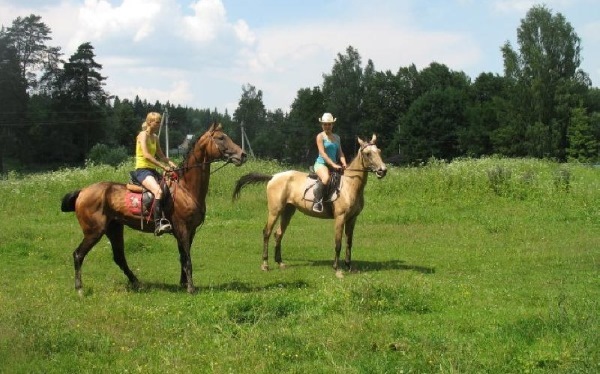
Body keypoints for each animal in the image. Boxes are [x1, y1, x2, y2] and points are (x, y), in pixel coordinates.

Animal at [61, 124, 246, 294]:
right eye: (221, 138)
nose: (243, 155)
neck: (186, 188)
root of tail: (82, 191)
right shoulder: (183, 229)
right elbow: (187, 259)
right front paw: (190, 288)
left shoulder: (190, 231)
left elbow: (182, 257)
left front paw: (183, 283)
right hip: (94, 231)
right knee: (78, 254)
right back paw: (79, 289)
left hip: (114, 228)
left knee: (119, 257)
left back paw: (137, 282)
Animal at [232, 136, 386, 276]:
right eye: (368, 154)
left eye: (379, 151)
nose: (383, 170)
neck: (349, 185)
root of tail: (273, 177)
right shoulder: (340, 218)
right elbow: (338, 244)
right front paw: (337, 270)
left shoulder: (352, 219)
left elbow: (349, 242)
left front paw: (349, 267)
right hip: (275, 211)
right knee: (267, 233)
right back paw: (265, 265)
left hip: (288, 212)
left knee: (278, 234)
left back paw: (280, 263)